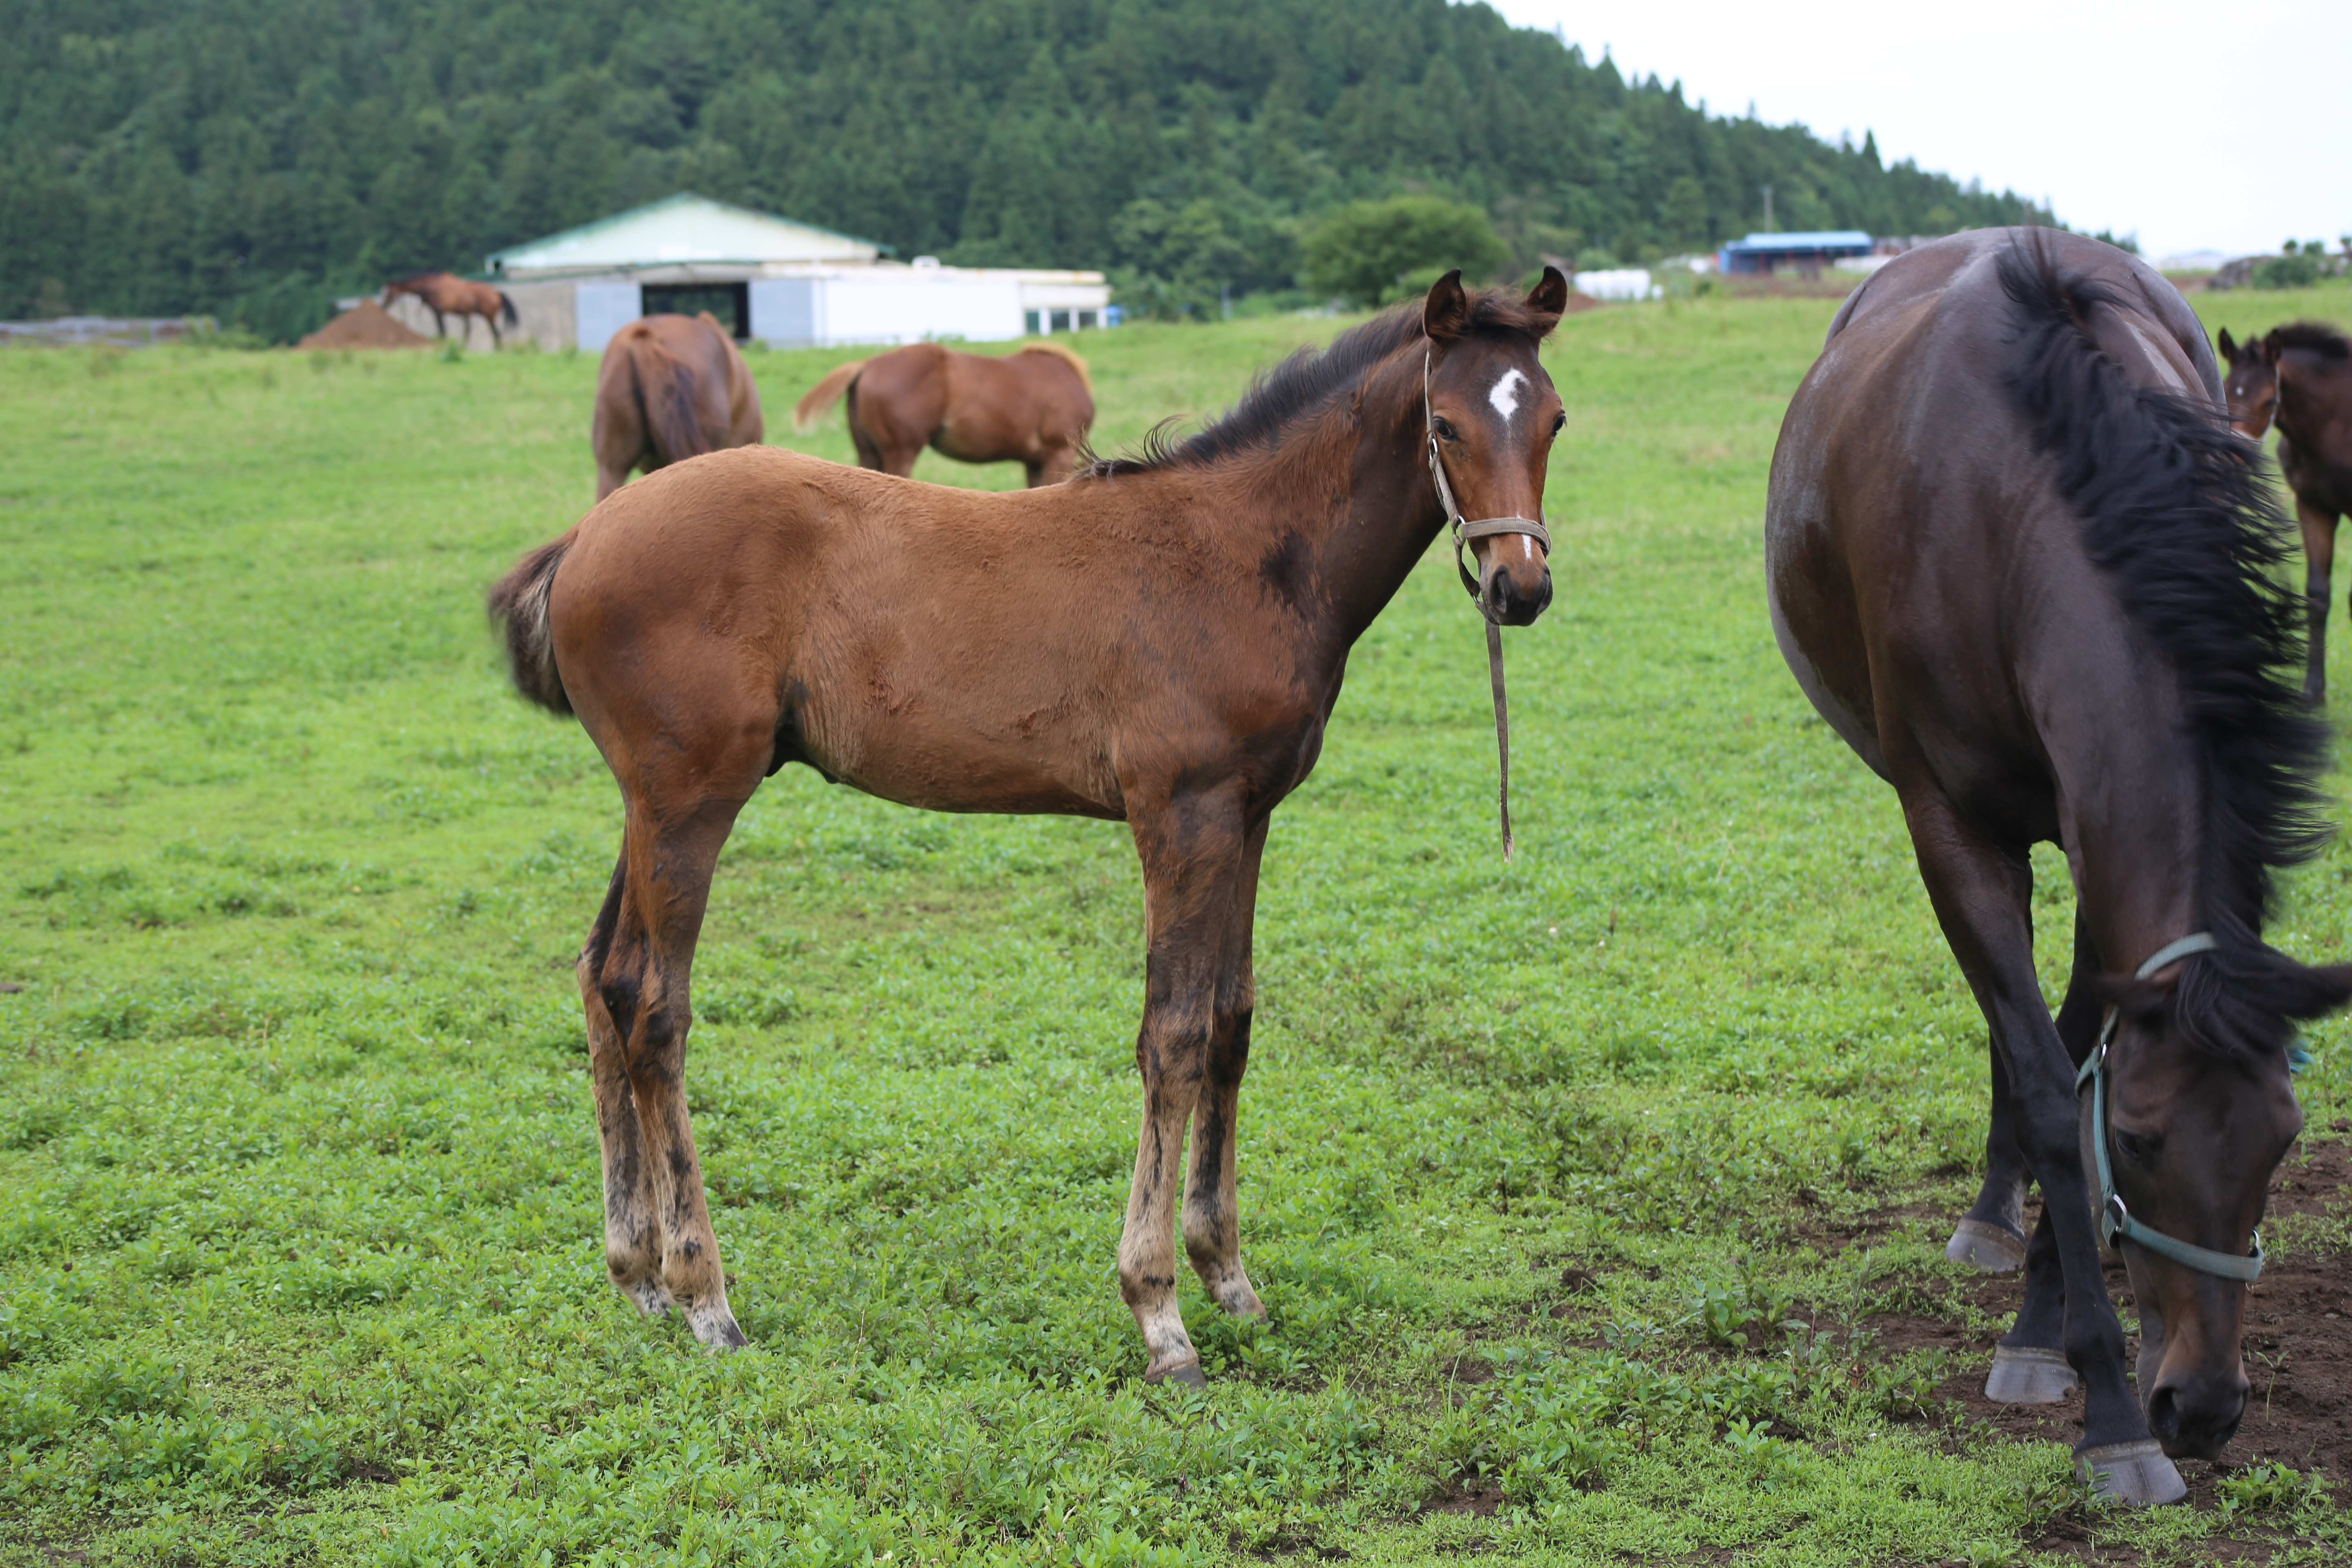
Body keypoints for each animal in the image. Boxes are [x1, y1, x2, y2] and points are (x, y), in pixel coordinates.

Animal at [383, 271, 522, 348]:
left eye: (389, 292)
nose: (383, 305)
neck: (431, 287)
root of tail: (497, 292)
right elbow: (443, 330)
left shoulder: (438, 312)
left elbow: (442, 330)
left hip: (489, 316)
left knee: (496, 333)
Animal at [1768, 223, 2342, 1504]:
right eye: (2137, 1140)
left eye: (2284, 1139)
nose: (2204, 1406)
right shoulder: (1949, 825)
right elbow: (2045, 1086)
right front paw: (2107, 1404)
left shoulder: (2097, 857)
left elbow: (2069, 1053)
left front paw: (2047, 1326)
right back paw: (1992, 1218)